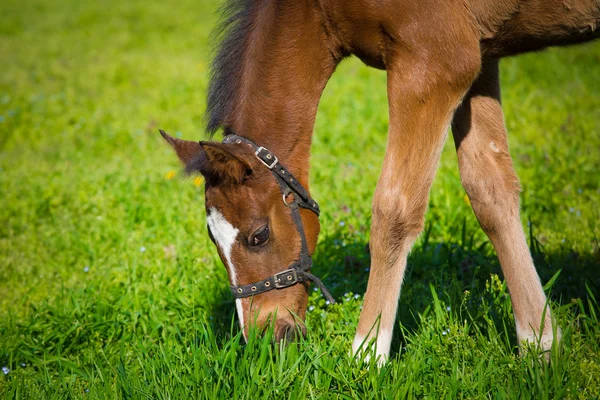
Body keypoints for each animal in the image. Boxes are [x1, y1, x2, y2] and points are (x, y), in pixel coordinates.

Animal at [159, 0, 600, 362]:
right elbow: (490, 191)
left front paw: (366, 353)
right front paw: (540, 346)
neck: (318, 7)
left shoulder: (436, 63)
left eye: (259, 235)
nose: (267, 339)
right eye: (213, 240)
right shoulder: (479, 56)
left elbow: (394, 209)